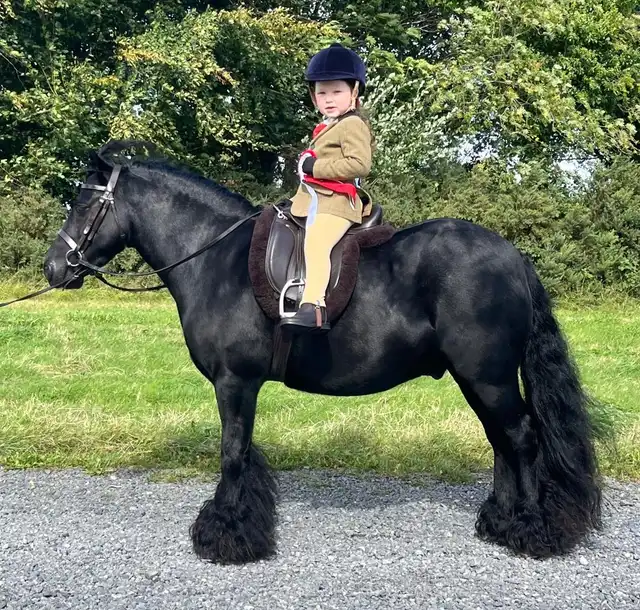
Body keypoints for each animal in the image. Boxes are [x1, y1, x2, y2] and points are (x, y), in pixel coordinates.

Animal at [43, 141, 602, 564]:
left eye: (83, 204)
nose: (55, 267)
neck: (216, 259)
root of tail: (514, 256)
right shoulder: (241, 385)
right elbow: (243, 451)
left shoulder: (234, 381)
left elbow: (231, 453)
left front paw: (225, 534)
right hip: (479, 378)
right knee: (501, 441)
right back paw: (499, 520)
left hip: (489, 376)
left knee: (521, 439)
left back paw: (529, 528)